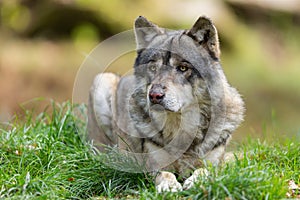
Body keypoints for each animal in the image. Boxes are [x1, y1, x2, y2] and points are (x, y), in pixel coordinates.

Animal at [86, 16, 244, 192]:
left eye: (182, 68)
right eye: (153, 67)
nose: (155, 95)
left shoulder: (215, 165)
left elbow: (204, 171)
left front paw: (196, 181)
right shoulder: (154, 167)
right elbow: (165, 174)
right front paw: (169, 186)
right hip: (102, 82)